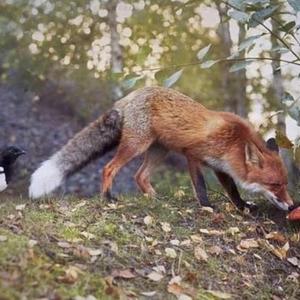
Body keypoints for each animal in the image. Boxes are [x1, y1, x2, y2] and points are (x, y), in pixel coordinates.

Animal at [29, 86, 294, 211]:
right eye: (274, 185)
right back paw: (107, 197)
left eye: (285, 183)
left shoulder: (220, 166)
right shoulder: (193, 155)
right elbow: (200, 185)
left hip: (158, 151)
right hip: (136, 146)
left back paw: (155, 198)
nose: (292, 205)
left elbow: (233, 191)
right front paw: (207, 206)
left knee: (139, 176)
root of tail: (129, 96)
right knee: (108, 168)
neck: (233, 142)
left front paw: (243, 207)